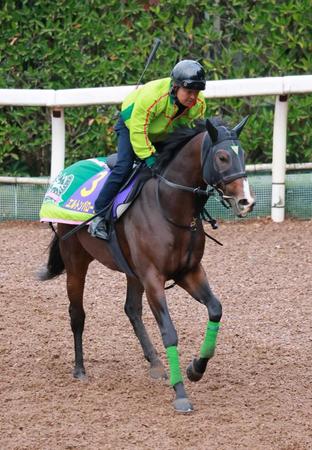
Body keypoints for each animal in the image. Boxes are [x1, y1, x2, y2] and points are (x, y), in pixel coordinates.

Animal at [39, 116, 255, 412]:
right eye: (222, 157)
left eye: (243, 155)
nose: (246, 201)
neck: (169, 207)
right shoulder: (154, 278)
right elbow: (169, 332)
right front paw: (181, 393)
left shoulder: (189, 271)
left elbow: (215, 309)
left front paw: (195, 369)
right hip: (75, 259)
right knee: (77, 313)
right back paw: (80, 369)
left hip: (132, 271)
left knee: (131, 309)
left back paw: (155, 363)